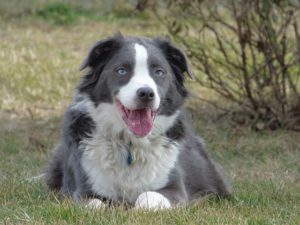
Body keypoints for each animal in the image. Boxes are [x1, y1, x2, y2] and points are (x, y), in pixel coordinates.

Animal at [45, 34, 232, 210]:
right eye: (121, 70)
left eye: (159, 72)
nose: (146, 94)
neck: (130, 143)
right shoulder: (81, 189)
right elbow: (94, 204)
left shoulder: (176, 190)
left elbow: (147, 196)